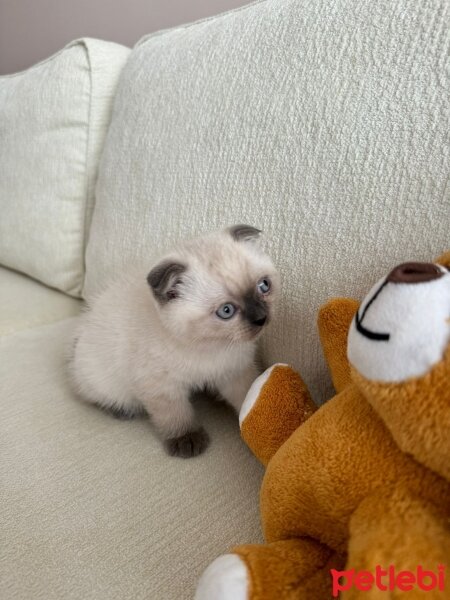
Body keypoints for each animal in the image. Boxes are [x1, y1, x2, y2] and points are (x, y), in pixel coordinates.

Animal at [69, 227, 278, 458]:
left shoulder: (234, 371)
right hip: (104, 380)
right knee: (95, 395)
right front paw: (187, 440)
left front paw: (262, 423)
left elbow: (248, 397)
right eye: (226, 311)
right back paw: (121, 410)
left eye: (263, 286)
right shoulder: (161, 386)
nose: (261, 318)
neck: (209, 346)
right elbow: (175, 415)